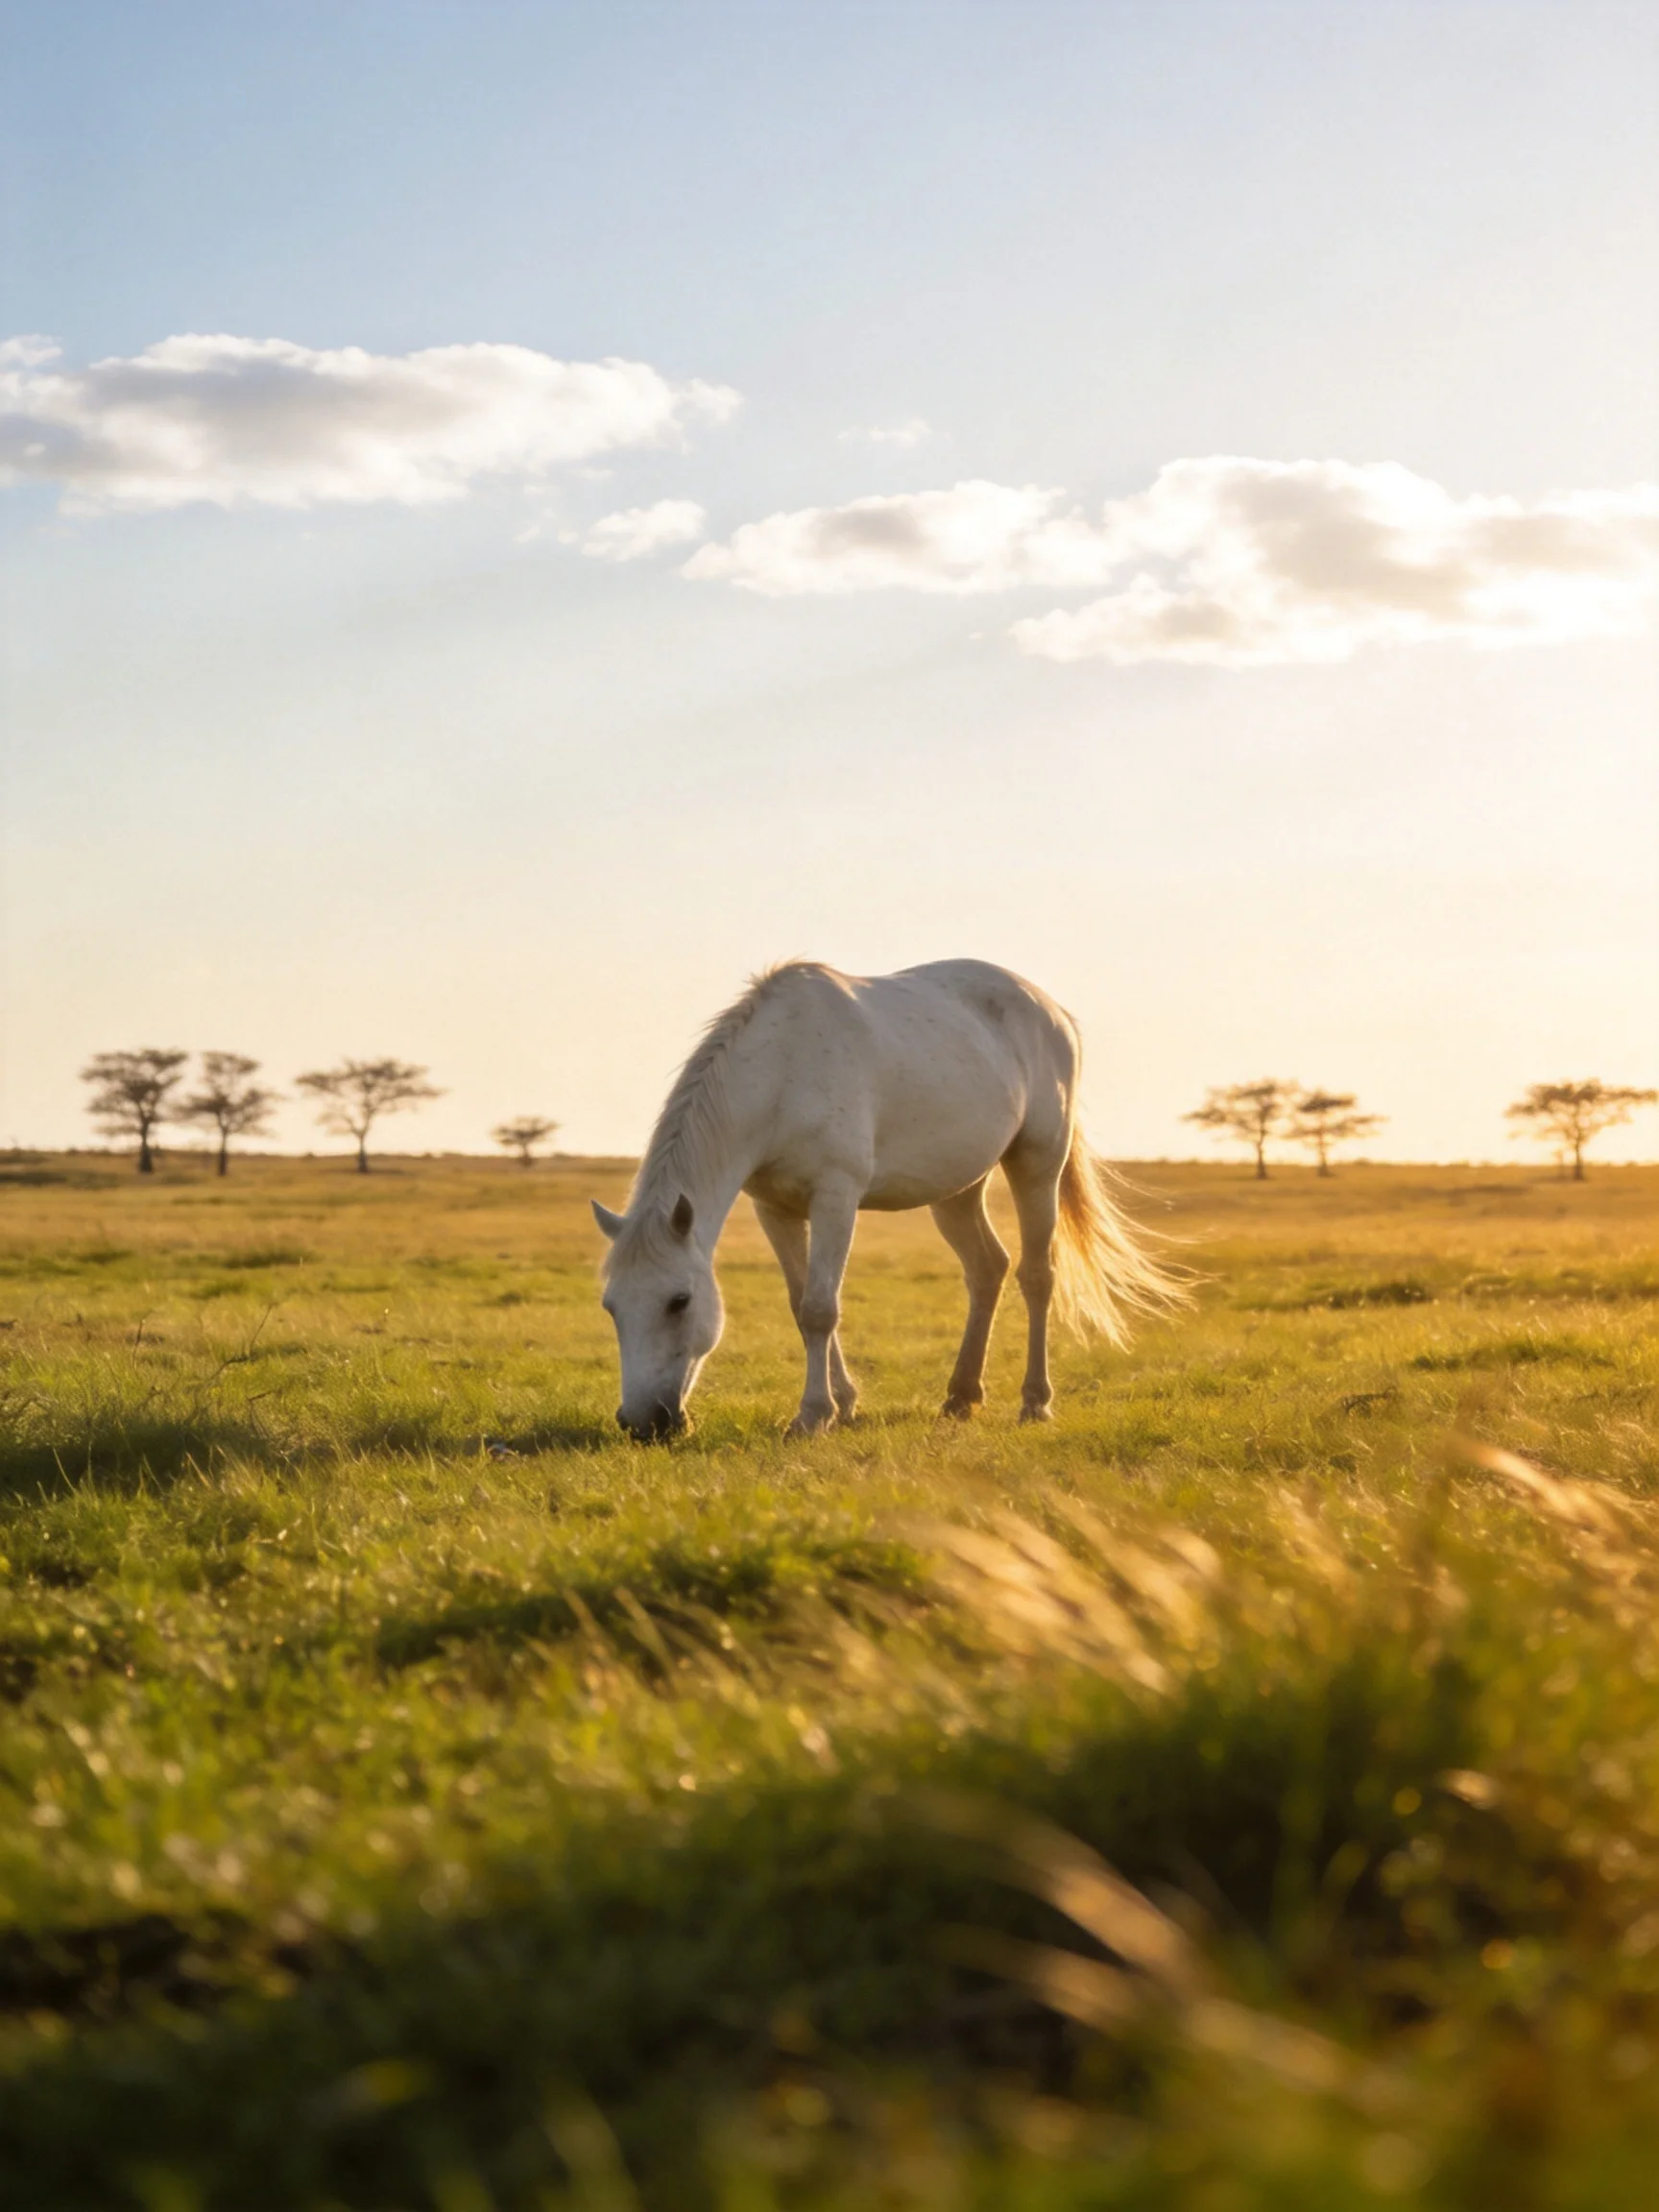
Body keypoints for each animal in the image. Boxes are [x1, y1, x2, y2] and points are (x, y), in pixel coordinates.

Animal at [591, 959, 1182, 1440]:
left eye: (679, 1301)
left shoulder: (835, 1198)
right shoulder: (774, 1209)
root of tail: (1053, 1011)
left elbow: (820, 1309)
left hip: (1038, 1165)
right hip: (957, 1190)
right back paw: (961, 1397)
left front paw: (813, 1416)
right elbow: (800, 1304)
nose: (642, 1422)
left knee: (1037, 1276)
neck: (782, 1072)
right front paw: (844, 1405)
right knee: (987, 1269)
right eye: (611, 1306)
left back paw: (1034, 1403)